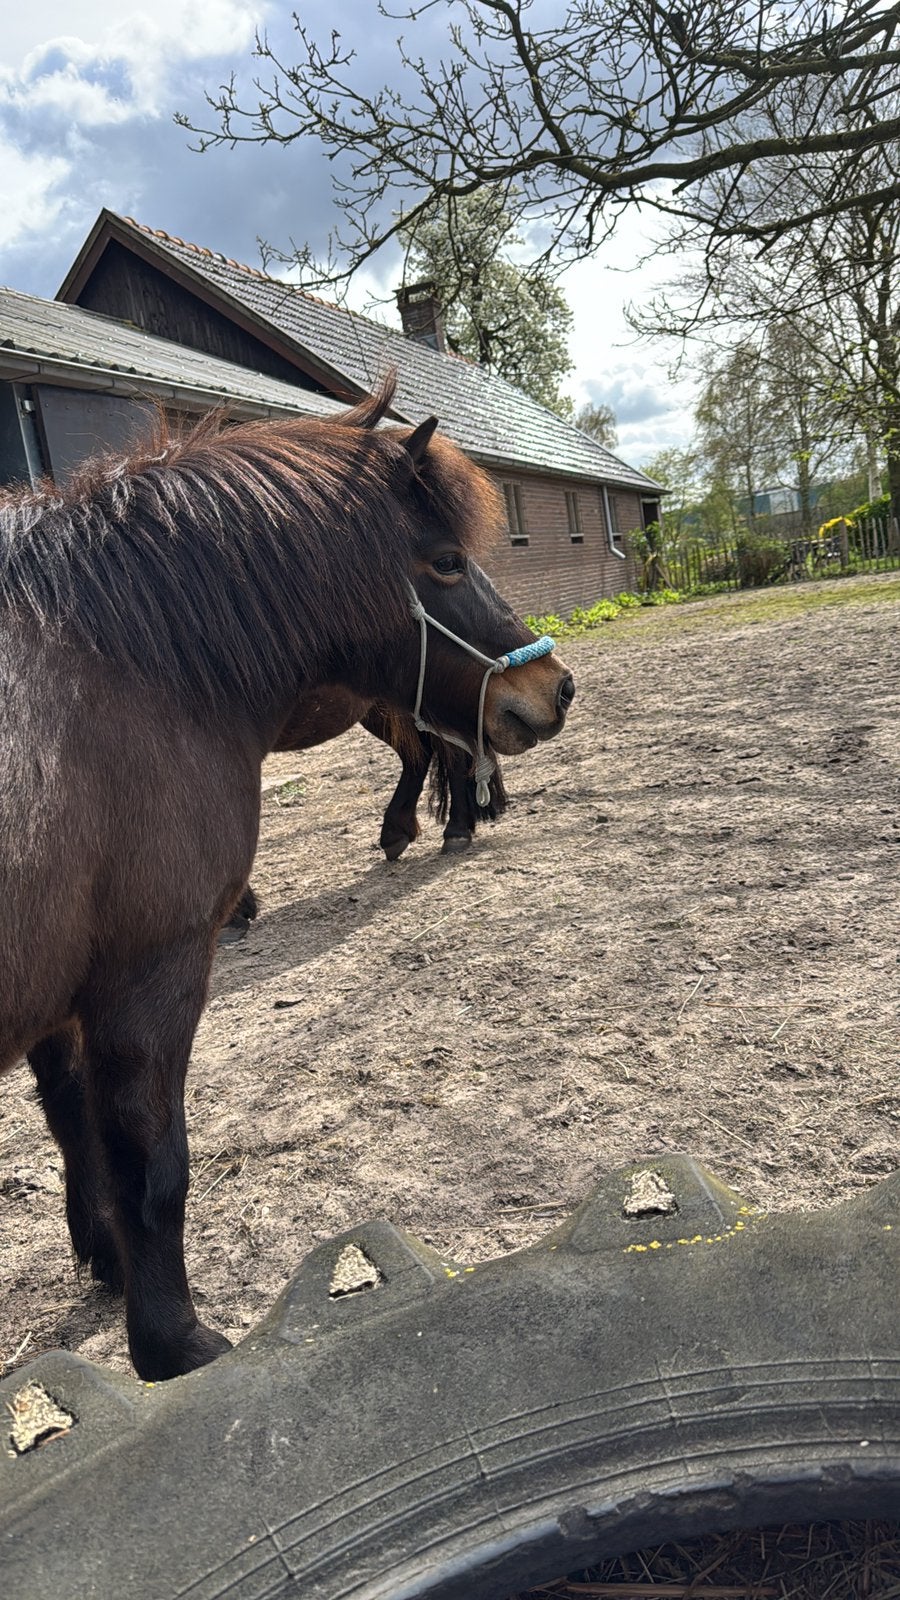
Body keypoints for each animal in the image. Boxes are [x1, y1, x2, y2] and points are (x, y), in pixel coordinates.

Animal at [0, 377, 574, 1380]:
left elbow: (90, 1133)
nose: (555, 688)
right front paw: (173, 1342)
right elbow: (141, 1159)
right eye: (447, 560)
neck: (111, 674)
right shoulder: (139, 972)